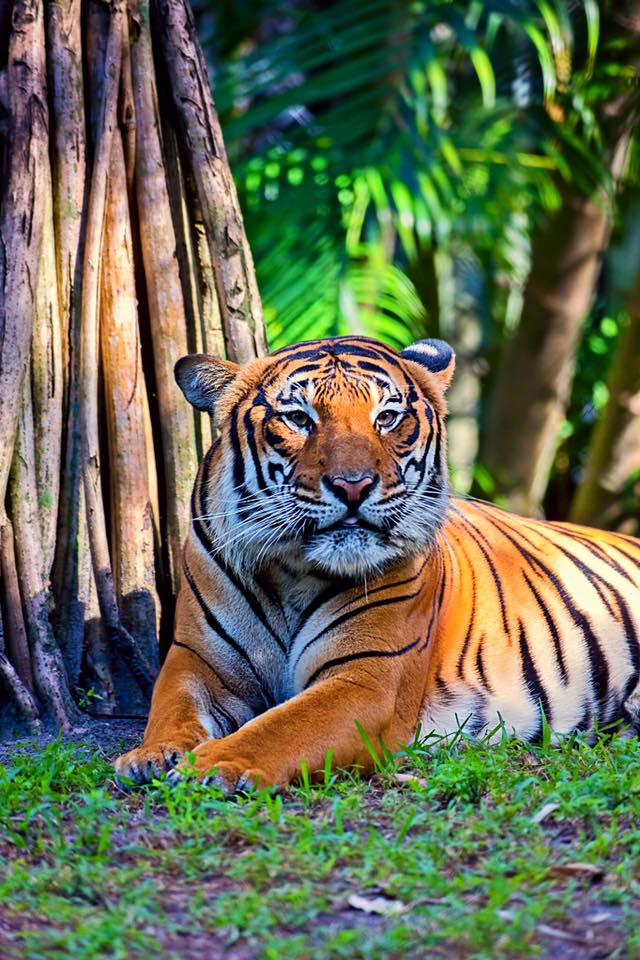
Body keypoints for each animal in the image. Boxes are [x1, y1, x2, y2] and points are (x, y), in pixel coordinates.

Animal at [114, 335, 640, 790]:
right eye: (298, 418)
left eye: (387, 417)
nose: (354, 485)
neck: (291, 573)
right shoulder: (197, 660)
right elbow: (171, 707)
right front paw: (149, 755)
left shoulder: (367, 681)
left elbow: (282, 726)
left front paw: (214, 764)